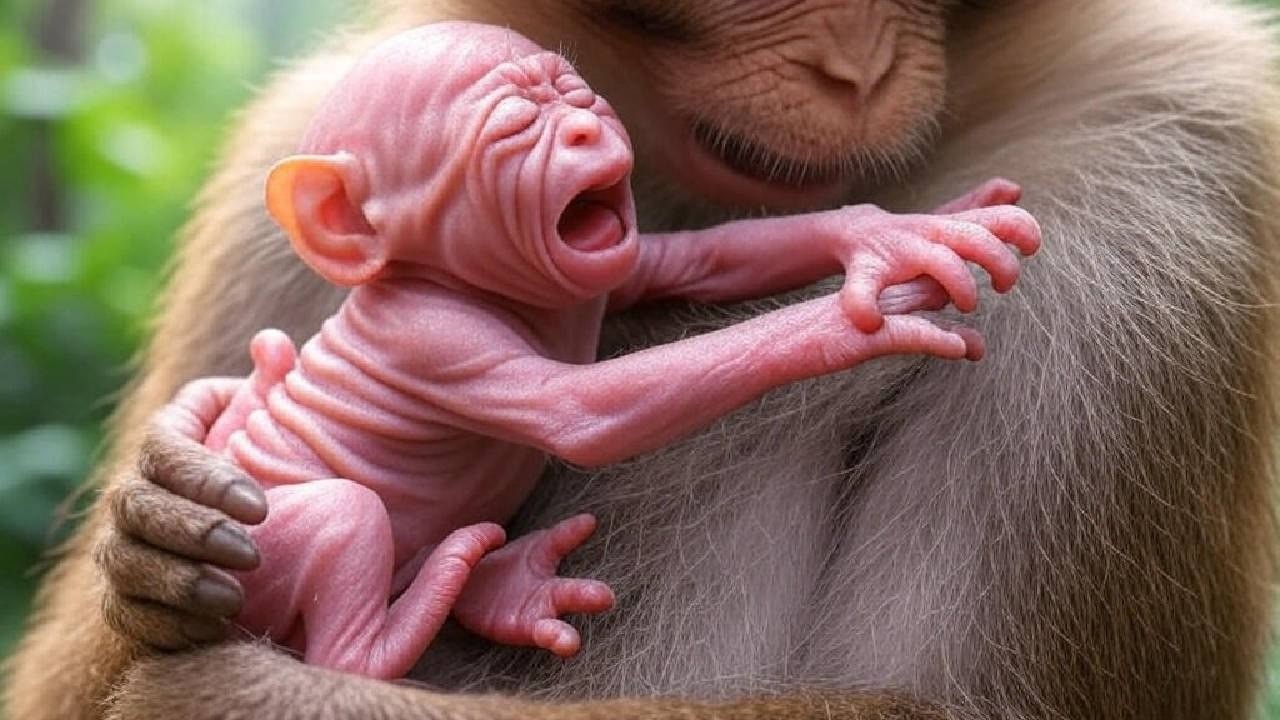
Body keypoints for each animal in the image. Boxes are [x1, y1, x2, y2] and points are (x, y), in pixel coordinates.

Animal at [3, 0, 1278, 719]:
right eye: (507, 126)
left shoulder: (1167, 164)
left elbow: (941, 701)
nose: (852, 68)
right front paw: (163, 529)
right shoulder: (283, 197)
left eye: (565, 95)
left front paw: (881, 245)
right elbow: (579, 403)